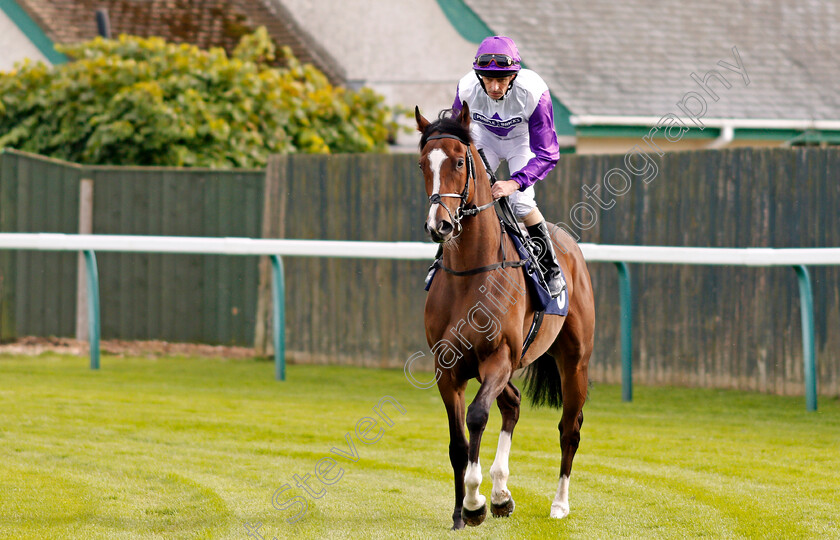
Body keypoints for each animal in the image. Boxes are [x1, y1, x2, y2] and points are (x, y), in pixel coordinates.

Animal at [416, 103, 592, 528]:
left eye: (459, 161)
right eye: (422, 164)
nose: (439, 225)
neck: (471, 272)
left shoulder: (498, 358)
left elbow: (477, 416)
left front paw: (474, 502)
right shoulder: (448, 367)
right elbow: (457, 441)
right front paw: (463, 510)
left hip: (574, 360)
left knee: (569, 427)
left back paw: (558, 503)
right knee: (512, 404)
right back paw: (501, 494)